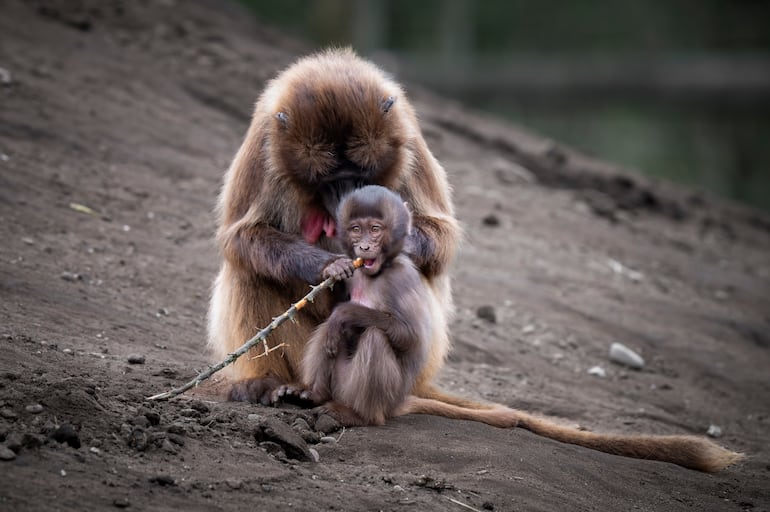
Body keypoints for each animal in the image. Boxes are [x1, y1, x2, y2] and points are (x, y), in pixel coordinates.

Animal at [208, 48, 742, 472]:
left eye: (358, 172)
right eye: (328, 179)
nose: (348, 203)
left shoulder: (407, 136)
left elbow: (439, 236)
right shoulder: (265, 140)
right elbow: (242, 237)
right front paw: (326, 267)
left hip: (411, 367)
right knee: (252, 270)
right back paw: (267, 386)